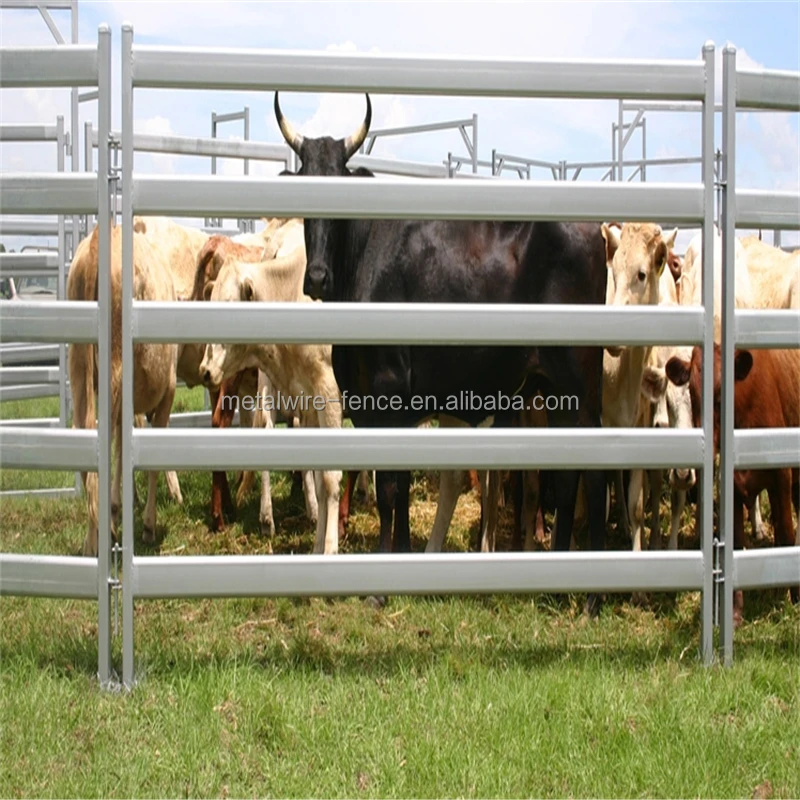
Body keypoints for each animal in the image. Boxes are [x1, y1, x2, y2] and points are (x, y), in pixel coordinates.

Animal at [198, 248, 343, 555]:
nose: (205, 370)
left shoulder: (329, 396)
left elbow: (330, 478)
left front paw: (330, 548)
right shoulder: (310, 405)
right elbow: (320, 481)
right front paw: (317, 547)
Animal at [273, 92, 609, 612]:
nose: (317, 278)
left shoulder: (388, 391)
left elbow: (390, 489)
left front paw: (381, 588)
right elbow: (398, 488)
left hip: (581, 380)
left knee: (592, 475)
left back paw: (591, 598)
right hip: (553, 389)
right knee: (567, 473)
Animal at [664, 344, 799, 625]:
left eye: (720, 394)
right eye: (693, 392)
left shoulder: (782, 475)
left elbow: (787, 531)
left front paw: (795, 597)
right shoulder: (733, 485)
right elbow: (735, 541)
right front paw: (735, 611)